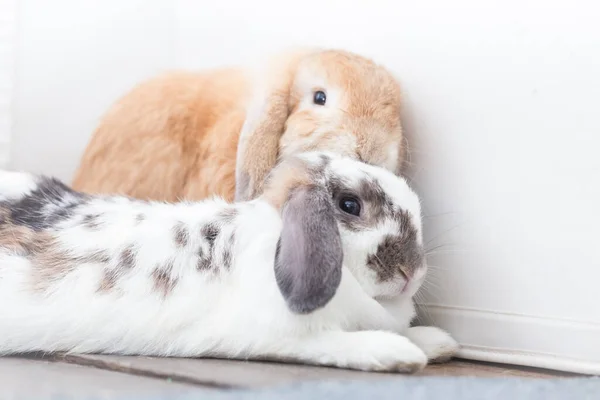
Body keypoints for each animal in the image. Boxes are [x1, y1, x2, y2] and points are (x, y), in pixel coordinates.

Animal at [0, 152, 458, 372]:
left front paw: (437, 342)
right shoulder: (280, 335)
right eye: (350, 205)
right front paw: (396, 353)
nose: (412, 272)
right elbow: (334, 343)